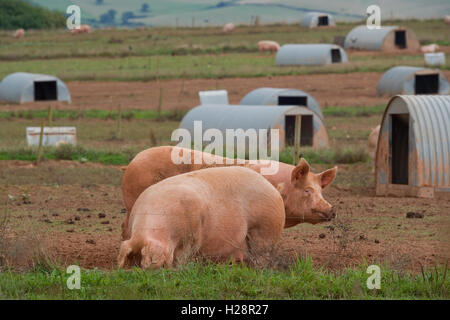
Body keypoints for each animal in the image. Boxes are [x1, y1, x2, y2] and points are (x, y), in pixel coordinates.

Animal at [117, 166, 284, 268]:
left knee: (263, 254)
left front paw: (179, 267)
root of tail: (273, 188)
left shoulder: (193, 231)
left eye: (153, 260)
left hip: (265, 228)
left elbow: (185, 253)